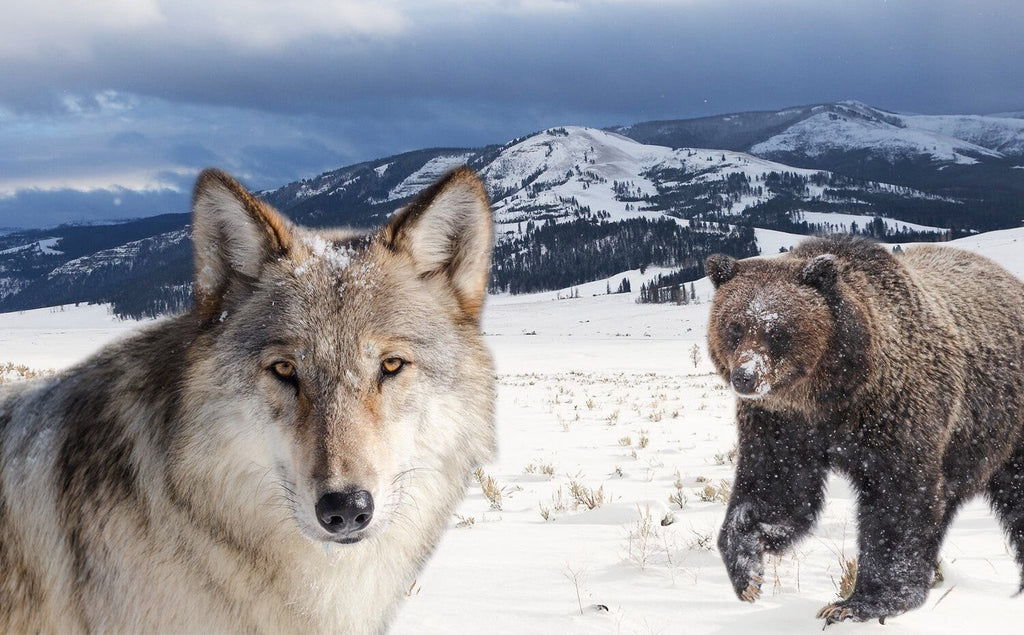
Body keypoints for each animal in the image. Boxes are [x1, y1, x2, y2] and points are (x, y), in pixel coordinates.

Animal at [704, 235, 1024, 624]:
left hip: (1002, 424)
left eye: (778, 331)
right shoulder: (781, 426)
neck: (831, 397)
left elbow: (896, 503)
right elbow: (775, 489)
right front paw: (748, 569)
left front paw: (859, 602)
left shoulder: (896, 414)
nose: (746, 376)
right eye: (734, 327)